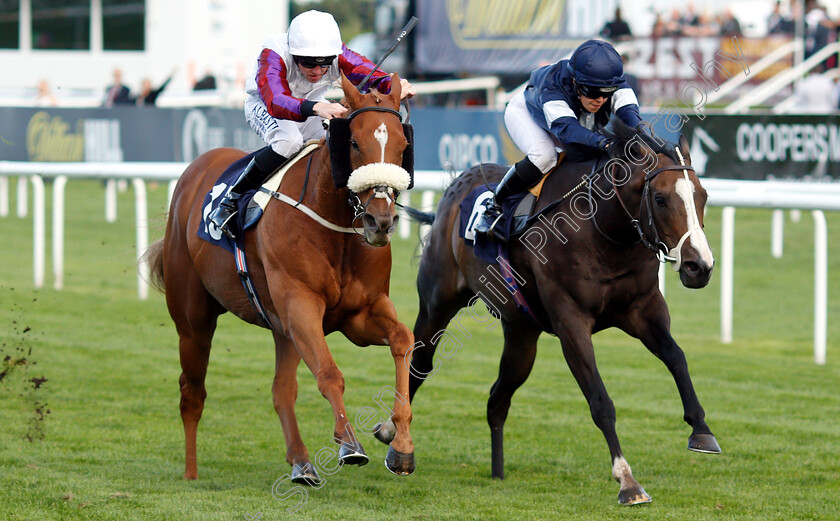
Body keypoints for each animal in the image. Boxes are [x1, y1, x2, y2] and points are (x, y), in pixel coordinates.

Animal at [148, 73, 420, 484]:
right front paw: (348, 443)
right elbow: (329, 374)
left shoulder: (359, 313)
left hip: (282, 328)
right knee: (192, 393)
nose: (380, 221)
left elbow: (403, 339)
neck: (334, 226)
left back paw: (301, 463)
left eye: (404, 146)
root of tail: (197, 167)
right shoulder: (301, 303)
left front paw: (400, 444)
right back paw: (191, 472)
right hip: (194, 321)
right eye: (354, 142)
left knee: (282, 391)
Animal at [378, 122, 720, 504]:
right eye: (660, 199)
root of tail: (456, 187)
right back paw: (393, 435)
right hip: (438, 302)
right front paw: (627, 480)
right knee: (419, 363)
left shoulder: (643, 309)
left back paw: (497, 472)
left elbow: (676, 357)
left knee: (498, 398)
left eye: (703, 196)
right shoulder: (571, 321)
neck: (604, 232)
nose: (699, 267)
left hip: (521, 332)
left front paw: (701, 430)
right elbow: (600, 400)